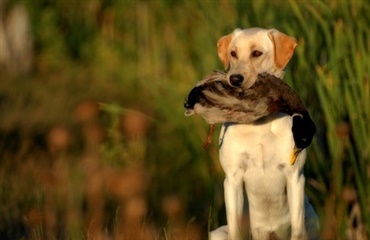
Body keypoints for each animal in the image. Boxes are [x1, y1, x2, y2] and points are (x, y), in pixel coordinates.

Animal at [210, 27, 320, 238]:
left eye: (257, 53)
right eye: (233, 53)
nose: (234, 79)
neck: (258, 124)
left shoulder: (294, 176)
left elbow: (297, 229)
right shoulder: (233, 179)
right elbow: (236, 229)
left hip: (312, 217)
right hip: (217, 233)